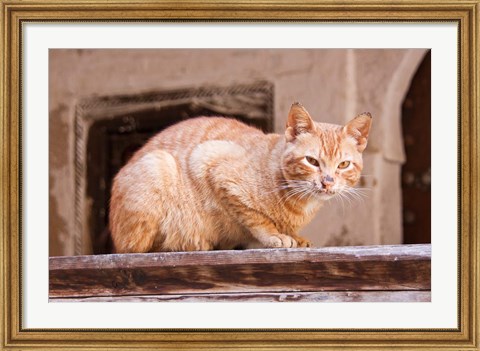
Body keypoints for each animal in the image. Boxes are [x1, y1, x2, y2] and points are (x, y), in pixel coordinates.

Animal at [109, 102, 372, 253]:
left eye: (343, 165)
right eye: (312, 161)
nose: (327, 182)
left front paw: (294, 236)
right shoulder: (212, 164)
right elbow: (256, 218)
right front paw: (275, 235)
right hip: (157, 165)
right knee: (136, 249)